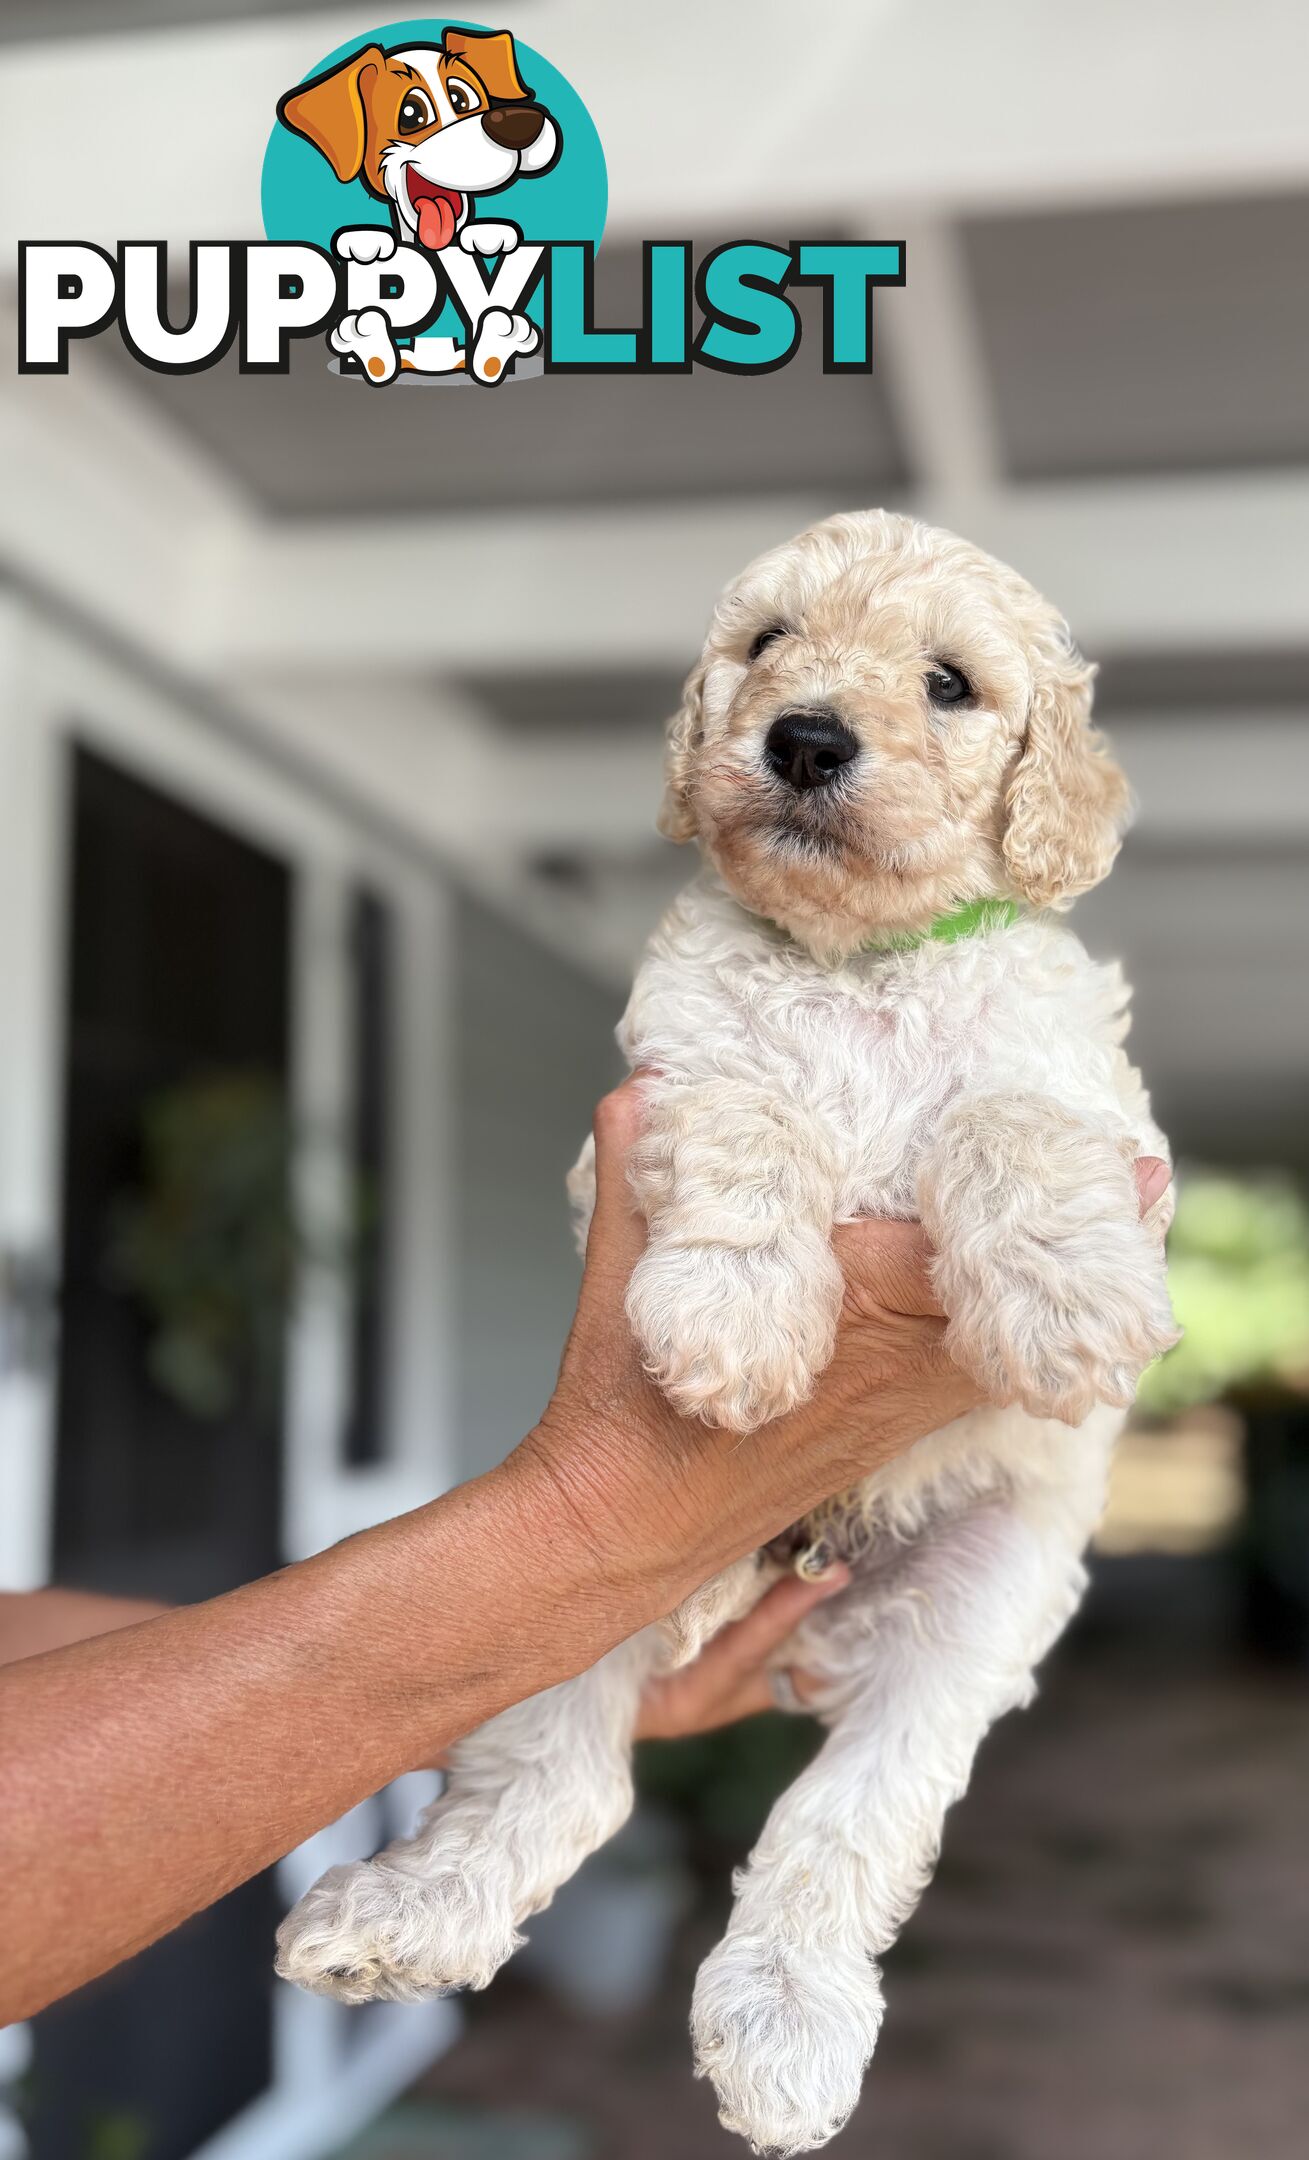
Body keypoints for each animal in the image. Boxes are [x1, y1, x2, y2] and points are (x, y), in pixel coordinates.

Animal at [276, 514, 1183, 2151]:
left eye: (947, 684)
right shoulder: (658, 1090)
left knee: (850, 1815)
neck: (857, 962)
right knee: (558, 1783)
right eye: (767, 642)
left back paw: (786, 2034)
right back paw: (398, 1919)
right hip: (569, 1604)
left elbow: (1010, 1117)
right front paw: (739, 1322)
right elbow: (751, 1112)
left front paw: (1066, 1307)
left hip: (975, 1608)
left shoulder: (1109, 1127)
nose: (805, 737)